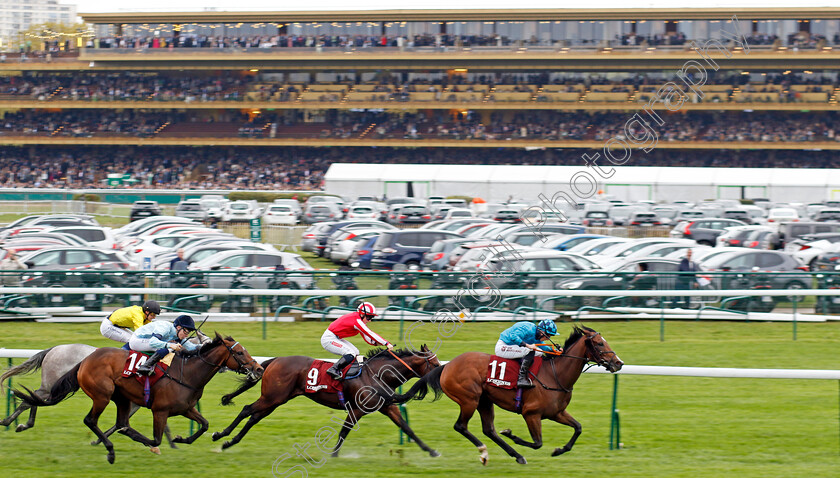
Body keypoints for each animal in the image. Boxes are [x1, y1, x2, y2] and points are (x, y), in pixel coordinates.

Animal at [14, 332, 260, 464]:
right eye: (239, 353)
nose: (258, 369)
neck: (187, 373)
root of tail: (85, 361)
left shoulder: (185, 408)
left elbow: (204, 425)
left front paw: (181, 440)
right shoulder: (159, 410)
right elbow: (156, 438)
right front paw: (159, 445)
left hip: (119, 398)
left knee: (120, 423)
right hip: (101, 395)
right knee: (88, 419)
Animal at [212, 344, 440, 456]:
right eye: (435, 364)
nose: (442, 373)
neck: (378, 374)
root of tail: (275, 360)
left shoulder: (387, 407)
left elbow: (407, 428)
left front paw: (431, 451)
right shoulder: (356, 410)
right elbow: (343, 432)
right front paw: (334, 455)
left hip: (275, 400)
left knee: (253, 417)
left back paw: (230, 442)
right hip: (272, 397)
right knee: (246, 409)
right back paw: (220, 435)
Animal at [390, 326, 620, 464]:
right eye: (600, 343)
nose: (619, 363)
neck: (556, 375)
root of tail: (446, 366)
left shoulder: (557, 413)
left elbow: (578, 428)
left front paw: (559, 450)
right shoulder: (531, 414)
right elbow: (537, 443)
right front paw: (512, 434)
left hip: (485, 401)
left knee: (489, 429)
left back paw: (516, 456)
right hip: (469, 399)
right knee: (461, 426)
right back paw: (485, 452)